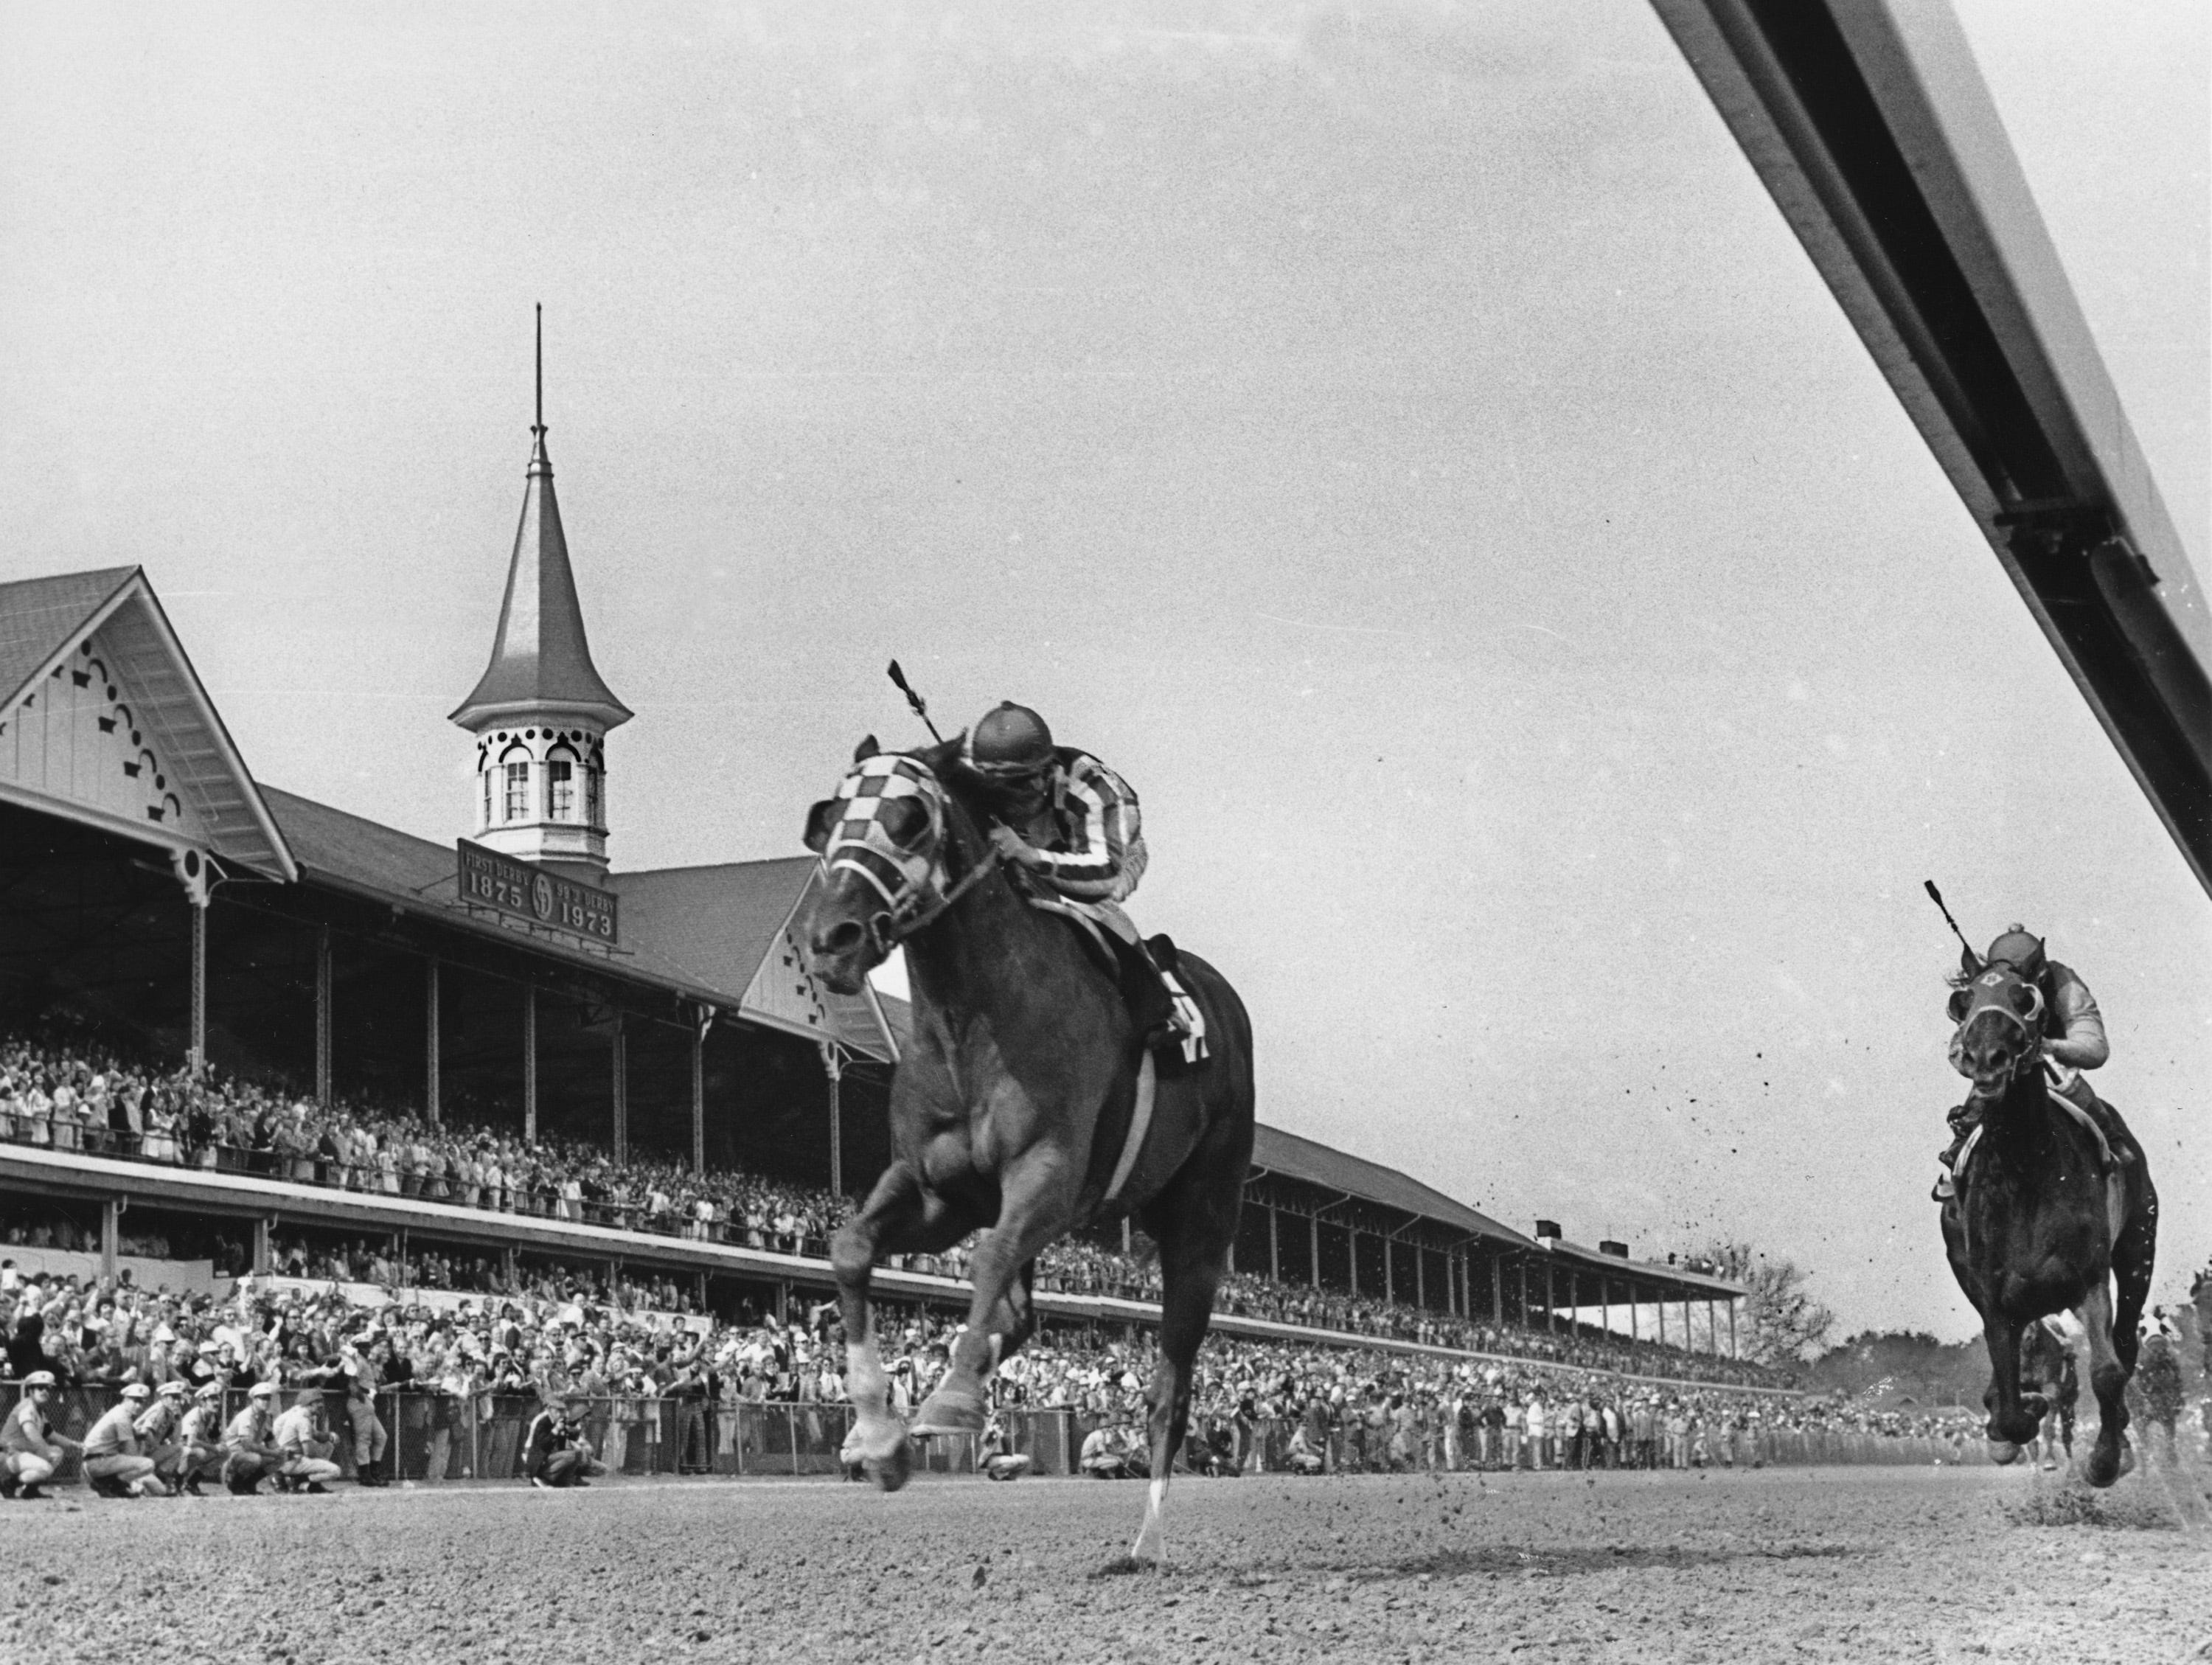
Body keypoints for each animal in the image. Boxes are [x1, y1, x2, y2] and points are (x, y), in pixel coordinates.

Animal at [796, 734, 1256, 1557]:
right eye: (827, 816)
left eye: (909, 818)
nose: (829, 939)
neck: (971, 1024)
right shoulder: (939, 1189)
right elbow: (851, 1248)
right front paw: (878, 1435)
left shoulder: (1049, 1175)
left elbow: (988, 1256)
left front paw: (949, 1401)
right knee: (1019, 1316)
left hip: (1202, 1220)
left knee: (1170, 1389)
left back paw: (1145, 1543)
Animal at [1947, 955, 2150, 1486]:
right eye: (1964, 1001)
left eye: (2026, 998)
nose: (1986, 1059)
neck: (2025, 1167)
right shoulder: (1995, 1296)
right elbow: (2010, 1407)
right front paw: (2011, 1423)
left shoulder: (2088, 1279)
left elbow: (2107, 1373)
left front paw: (2105, 1460)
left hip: (2139, 1246)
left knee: (2125, 1342)